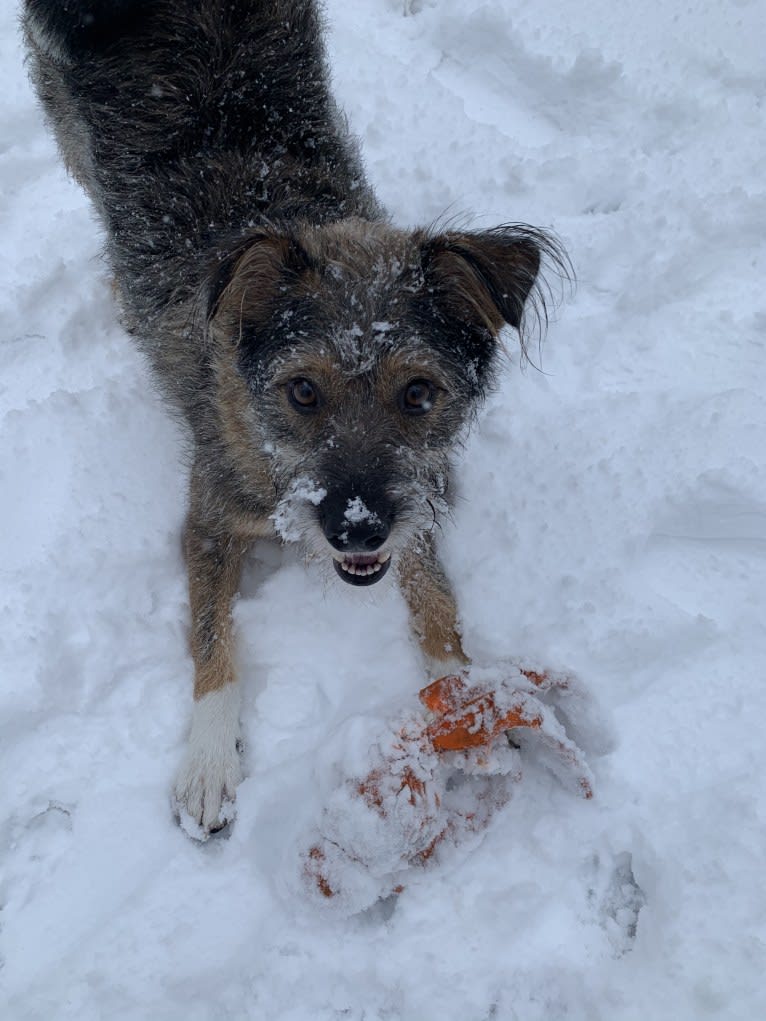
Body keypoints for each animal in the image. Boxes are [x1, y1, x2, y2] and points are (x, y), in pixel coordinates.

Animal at [22, 0, 571, 837]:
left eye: (419, 394)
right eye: (303, 392)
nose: (355, 529)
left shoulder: (418, 499)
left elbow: (438, 600)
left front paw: (467, 695)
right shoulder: (209, 520)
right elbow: (212, 638)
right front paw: (209, 760)